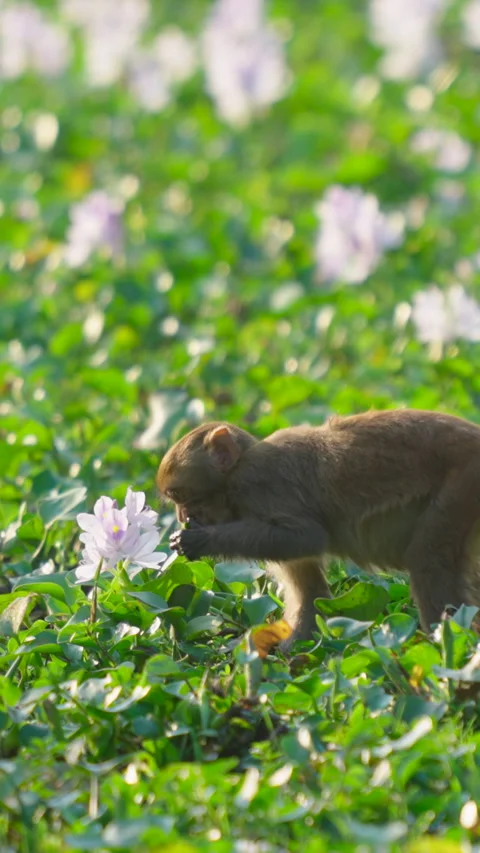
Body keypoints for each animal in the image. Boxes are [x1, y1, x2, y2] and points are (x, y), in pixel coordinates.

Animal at [156, 409, 480, 644]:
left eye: (180, 496)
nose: (182, 516)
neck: (235, 477)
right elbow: (307, 584)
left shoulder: (259, 484)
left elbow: (305, 536)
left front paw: (200, 540)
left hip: (462, 483)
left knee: (427, 559)